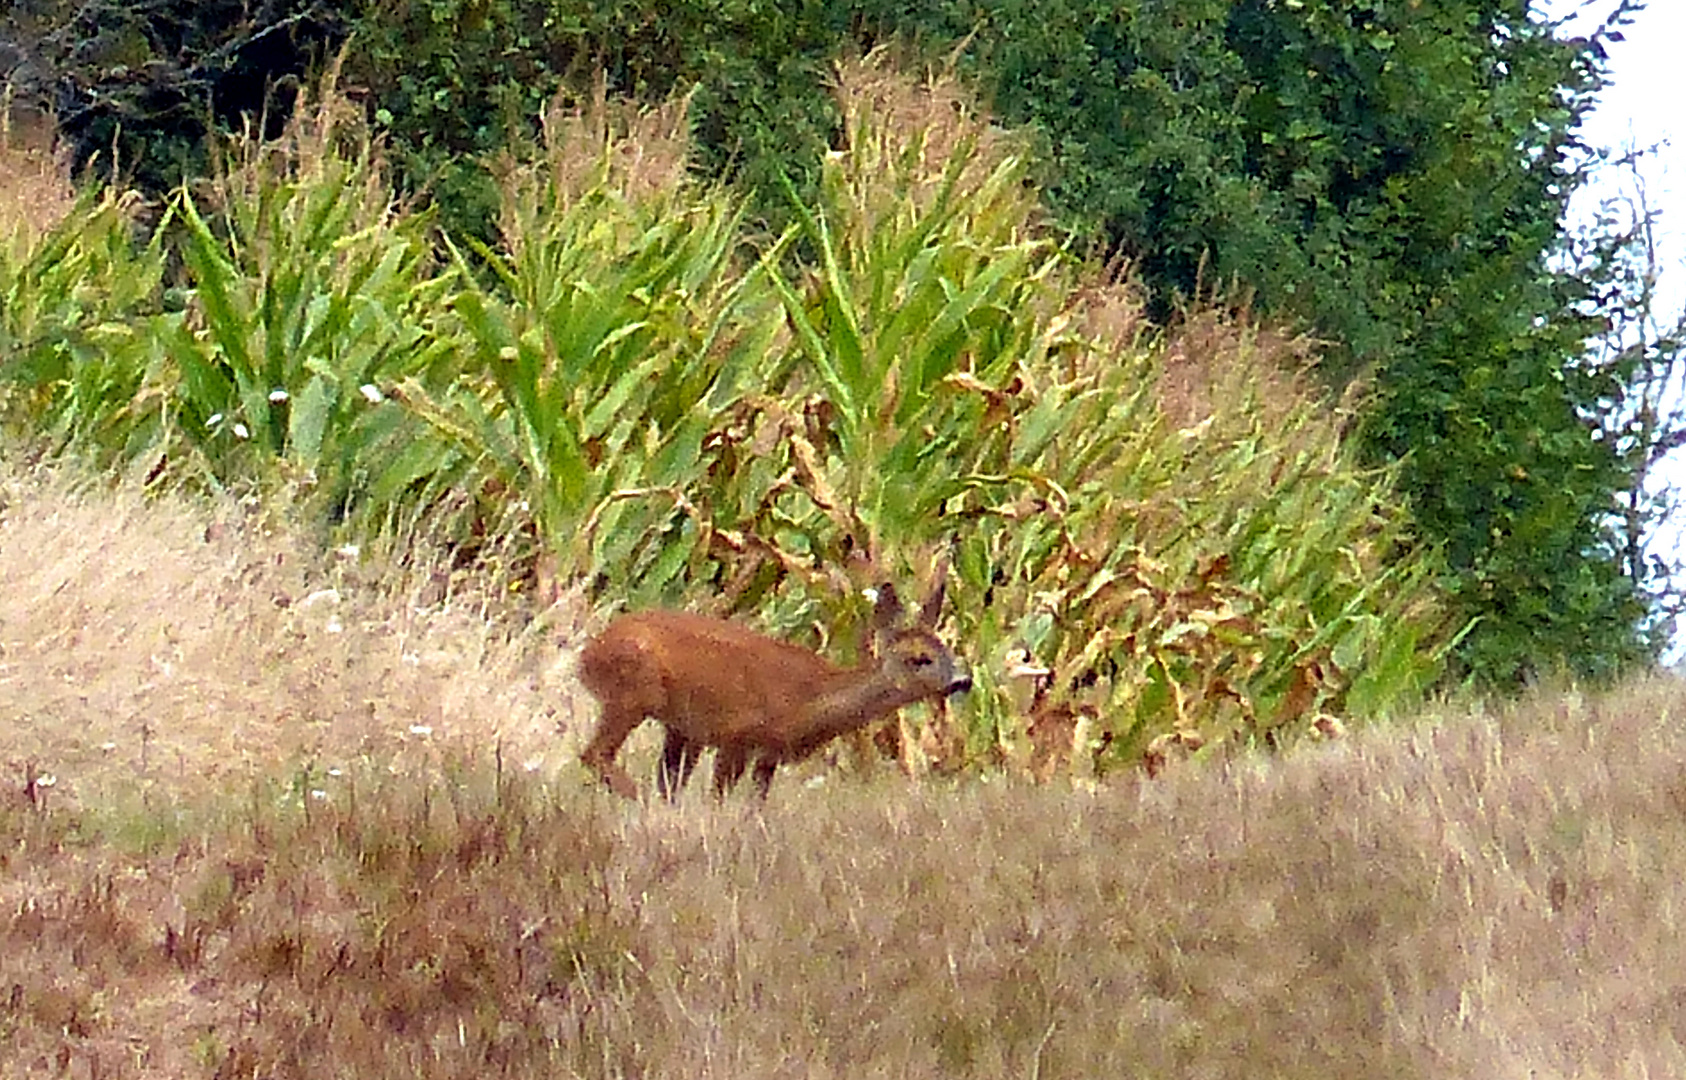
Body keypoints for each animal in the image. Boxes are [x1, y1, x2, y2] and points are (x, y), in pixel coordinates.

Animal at [583, 569, 971, 795]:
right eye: (919, 658)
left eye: (947, 648)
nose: (963, 680)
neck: (814, 697)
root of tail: (587, 655)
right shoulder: (737, 734)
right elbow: (719, 796)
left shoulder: (768, 753)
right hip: (632, 693)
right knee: (594, 754)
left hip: (677, 726)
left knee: (665, 780)